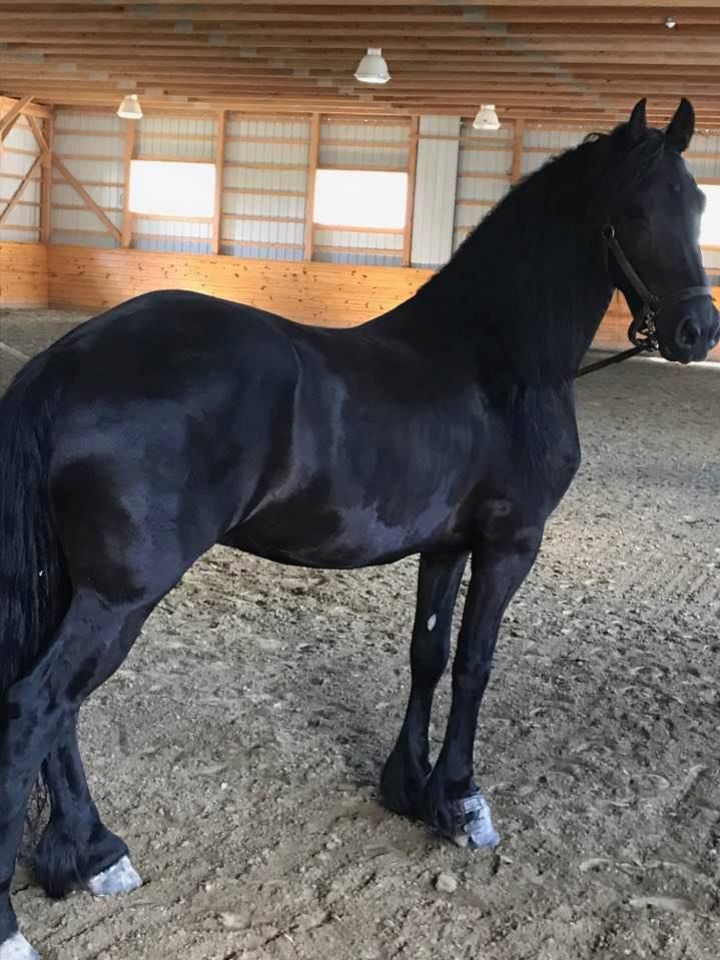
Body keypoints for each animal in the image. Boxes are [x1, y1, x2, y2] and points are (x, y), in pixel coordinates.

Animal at [0, 98, 718, 960]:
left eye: (698, 203)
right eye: (635, 211)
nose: (697, 332)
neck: (497, 361)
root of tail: (69, 358)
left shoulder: (445, 548)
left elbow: (428, 657)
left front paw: (408, 787)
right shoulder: (509, 547)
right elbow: (475, 665)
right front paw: (461, 802)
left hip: (85, 588)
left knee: (59, 714)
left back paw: (93, 853)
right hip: (121, 594)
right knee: (36, 709)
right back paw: (18, 919)